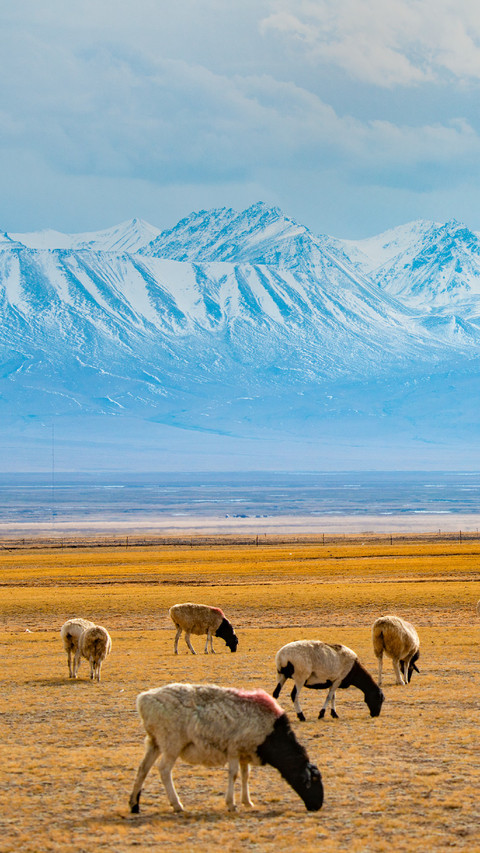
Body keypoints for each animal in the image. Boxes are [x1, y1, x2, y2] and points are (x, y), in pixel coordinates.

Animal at [129, 682, 323, 814]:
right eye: (311, 782)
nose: (317, 806)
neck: (273, 733)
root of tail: (143, 699)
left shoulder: (245, 751)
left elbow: (245, 775)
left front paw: (247, 802)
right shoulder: (234, 748)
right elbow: (234, 774)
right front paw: (232, 804)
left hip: (155, 742)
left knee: (143, 769)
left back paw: (134, 804)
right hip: (172, 742)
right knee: (164, 770)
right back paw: (177, 805)